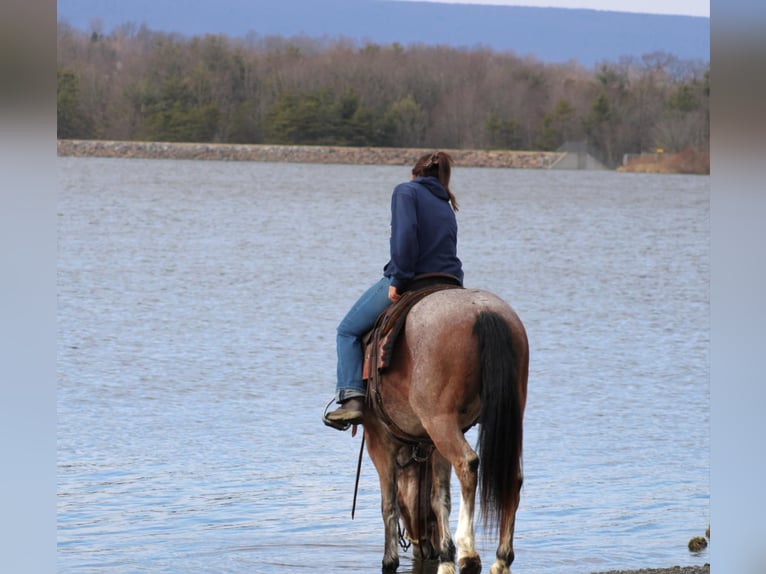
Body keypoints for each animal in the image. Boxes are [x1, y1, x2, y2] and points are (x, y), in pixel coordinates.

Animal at [360, 288, 528, 574]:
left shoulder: (379, 441)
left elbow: (388, 503)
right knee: (511, 478)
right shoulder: (433, 444)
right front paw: (446, 556)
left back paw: (468, 551)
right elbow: (439, 499)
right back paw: (501, 558)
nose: (422, 549)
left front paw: (390, 560)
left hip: (441, 422)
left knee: (468, 464)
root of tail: (484, 310)